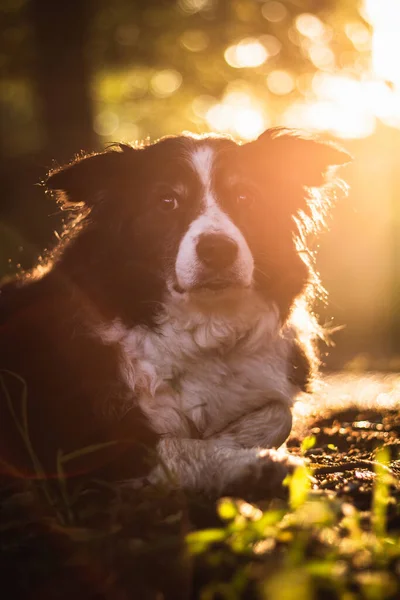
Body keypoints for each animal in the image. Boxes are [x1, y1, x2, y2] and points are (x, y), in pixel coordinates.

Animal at [0, 129, 350, 500]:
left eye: (244, 196)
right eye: (167, 201)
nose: (217, 250)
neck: (204, 327)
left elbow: (280, 414)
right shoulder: (65, 443)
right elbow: (170, 445)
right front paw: (251, 463)